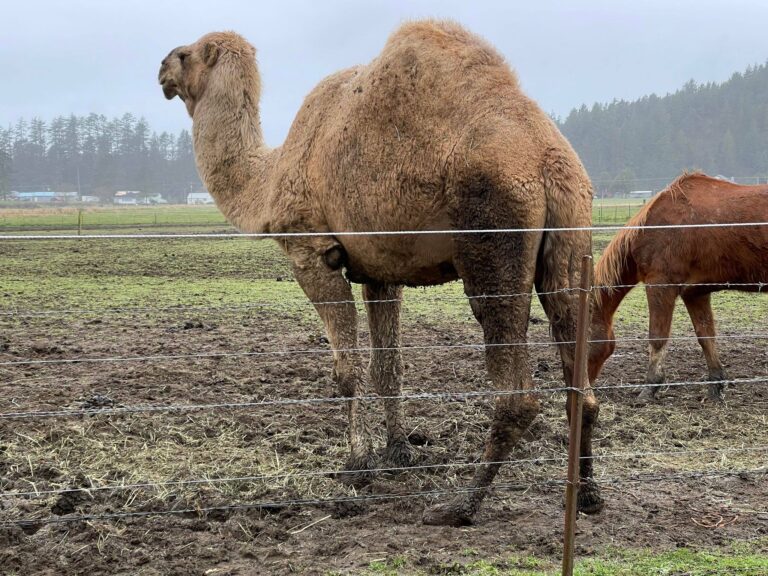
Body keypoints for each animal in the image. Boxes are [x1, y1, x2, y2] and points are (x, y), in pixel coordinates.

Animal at [158, 20, 600, 528]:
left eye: (185, 54)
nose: (161, 70)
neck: (270, 177)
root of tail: (547, 159)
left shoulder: (313, 253)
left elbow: (346, 369)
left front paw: (357, 464)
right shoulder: (378, 268)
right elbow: (388, 366)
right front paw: (398, 452)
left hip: (494, 233)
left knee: (517, 392)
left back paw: (459, 506)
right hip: (572, 236)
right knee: (579, 378)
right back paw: (588, 496)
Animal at [588, 173, 768, 402]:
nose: (580, 386)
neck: (653, 227)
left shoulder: (660, 286)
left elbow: (657, 337)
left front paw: (650, 386)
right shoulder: (696, 294)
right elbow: (706, 336)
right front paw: (715, 386)